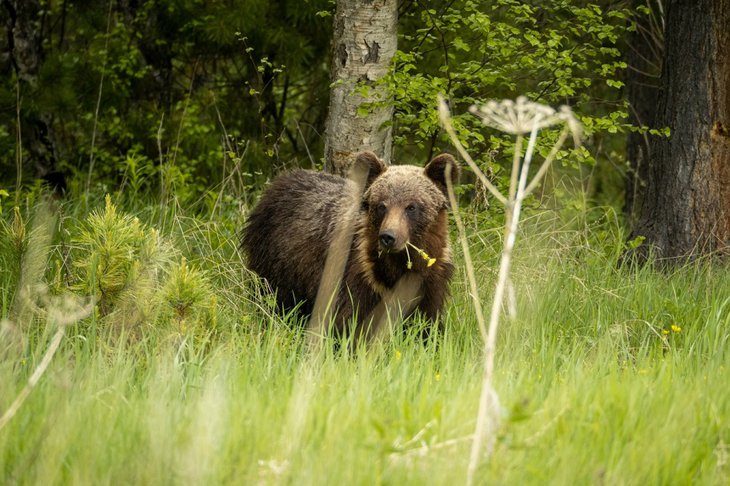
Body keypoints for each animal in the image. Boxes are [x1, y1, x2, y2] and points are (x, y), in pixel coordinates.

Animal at [242, 151, 459, 338]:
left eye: (411, 206)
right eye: (381, 205)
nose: (388, 237)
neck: (395, 269)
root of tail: (281, 179)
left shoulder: (429, 281)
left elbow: (425, 324)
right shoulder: (356, 275)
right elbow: (352, 321)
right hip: (277, 261)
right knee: (272, 298)